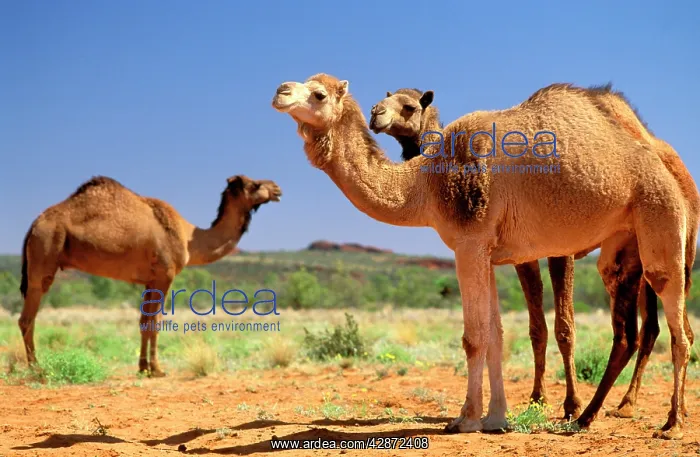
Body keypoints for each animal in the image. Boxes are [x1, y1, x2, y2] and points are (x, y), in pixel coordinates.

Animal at [18, 175, 282, 376]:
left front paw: (143, 367)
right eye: (254, 184)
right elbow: (155, 322)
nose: (277, 188)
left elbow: (143, 322)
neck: (189, 237)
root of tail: (34, 224)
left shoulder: (149, 280)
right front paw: (157, 369)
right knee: (27, 318)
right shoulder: (165, 275)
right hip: (45, 251)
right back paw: (37, 370)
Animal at [272, 73, 695, 439]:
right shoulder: (487, 252)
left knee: (677, 327)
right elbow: (496, 335)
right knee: (631, 331)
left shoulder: (468, 244)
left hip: (661, 219)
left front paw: (467, 419)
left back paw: (670, 423)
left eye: (318, 94)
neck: (424, 183)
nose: (280, 90)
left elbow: (474, 336)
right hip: (621, 248)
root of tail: (666, 161)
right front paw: (496, 418)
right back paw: (587, 417)